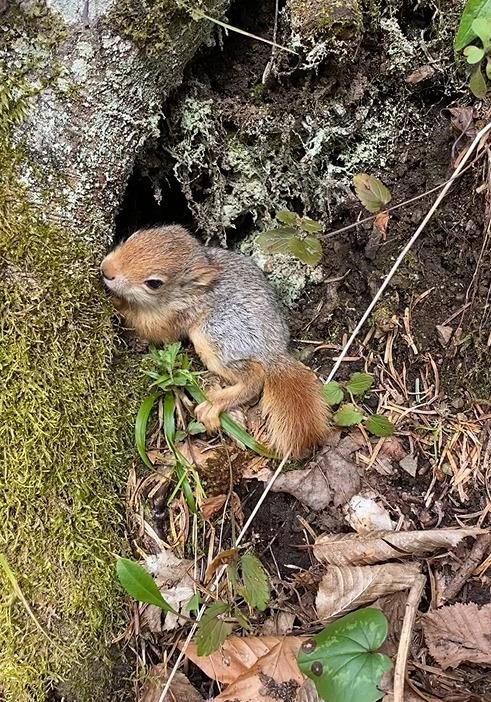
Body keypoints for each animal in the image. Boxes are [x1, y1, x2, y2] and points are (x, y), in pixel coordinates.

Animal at [102, 224, 328, 456]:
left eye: (154, 283)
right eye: (134, 235)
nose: (106, 270)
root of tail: (275, 352)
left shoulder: (176, 317)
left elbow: (152, 330)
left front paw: (117, 303)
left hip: (219, 337)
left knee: (254, 378)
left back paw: (214, 404)